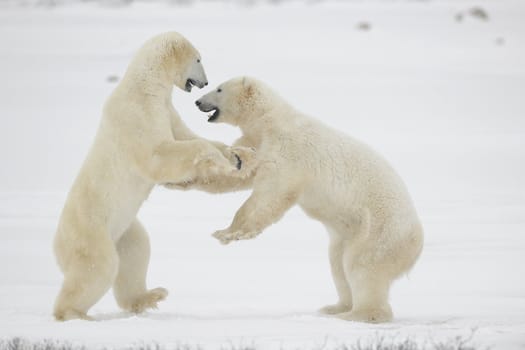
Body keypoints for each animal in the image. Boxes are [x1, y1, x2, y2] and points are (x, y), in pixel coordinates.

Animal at [52, 33, 251, 322]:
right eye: (198, 59)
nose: (205, 82)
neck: (146, 85)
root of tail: (57, 246)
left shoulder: (166, 109)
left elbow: (185, 135)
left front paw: (240, 156)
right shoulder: (137, 113)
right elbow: (160, 154)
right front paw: (220, 159)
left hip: (123, 229)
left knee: (136, 250)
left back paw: (149, 296)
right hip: (90, 230)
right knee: (97, 268)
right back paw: (74, 314)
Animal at [186, 78, 424, 324]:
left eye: (219, 89)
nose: (197, 101)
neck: (270, 121)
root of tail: (417, 241)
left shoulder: (288, 149)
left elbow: (274, 193)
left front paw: (238, 233)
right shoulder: (257, 143)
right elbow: (240, 174)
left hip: (380, 232)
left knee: (362, 266)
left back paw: (357, 314)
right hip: (348, 234)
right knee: (338, 265)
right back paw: (334, 307)